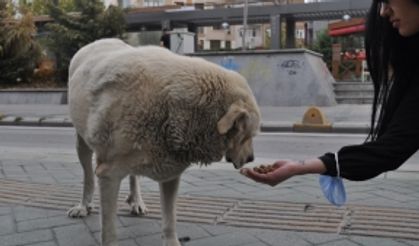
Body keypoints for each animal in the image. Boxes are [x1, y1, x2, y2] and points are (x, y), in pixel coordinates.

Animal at [67, 39, 260, 246]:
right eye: (247, 136)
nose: (251, 158)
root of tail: (97, 42)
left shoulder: (169, 172)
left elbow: (169, 219)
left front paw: (171, 241)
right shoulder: (109, 175)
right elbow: (109, 233)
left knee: (133, 175)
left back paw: (136, 201)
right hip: (82, 144)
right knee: (88, 175)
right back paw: (83, 206)